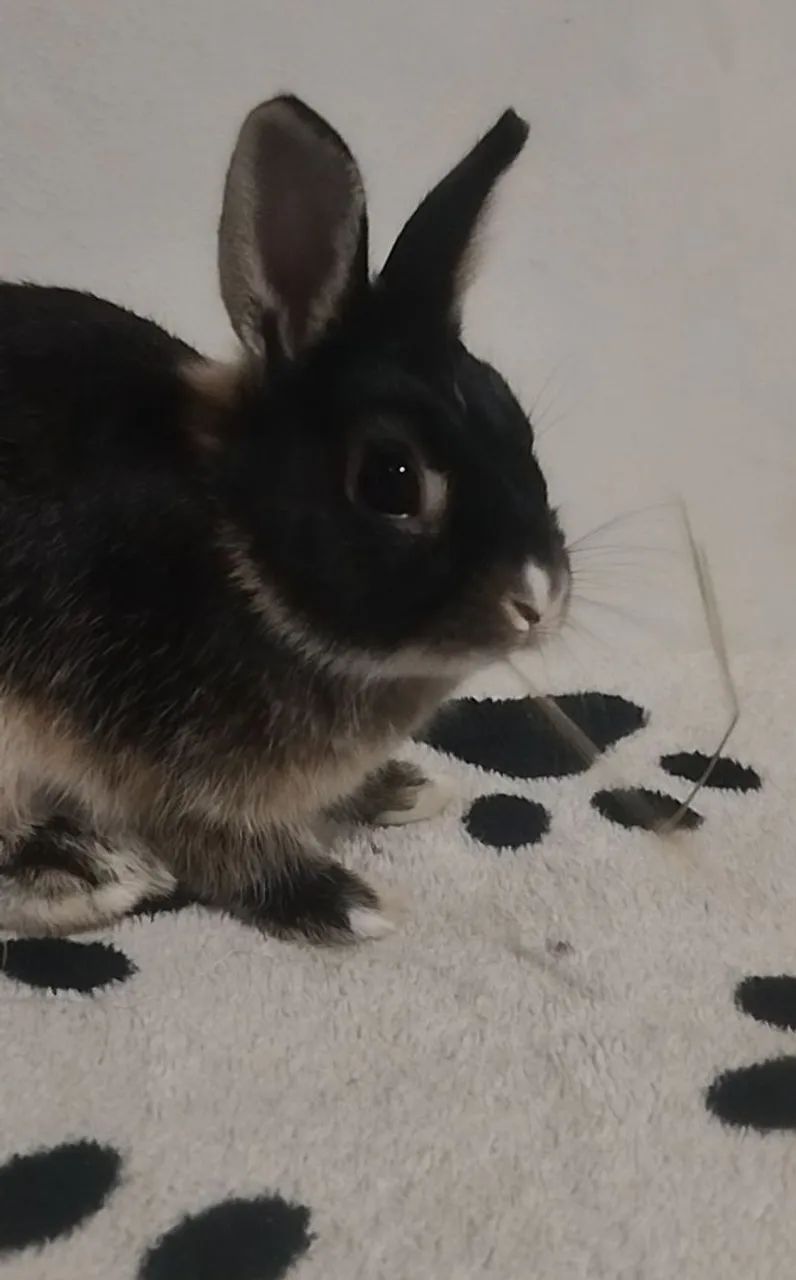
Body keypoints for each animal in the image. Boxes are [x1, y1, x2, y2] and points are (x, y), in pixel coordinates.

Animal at [0, 95, 569, 943]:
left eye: (518, 426)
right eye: (390, 478)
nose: (537, 598)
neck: (233, 539)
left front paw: (402, 789)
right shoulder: (172, 771)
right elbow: (218, 848)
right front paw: (346, 903)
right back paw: (86, 875)